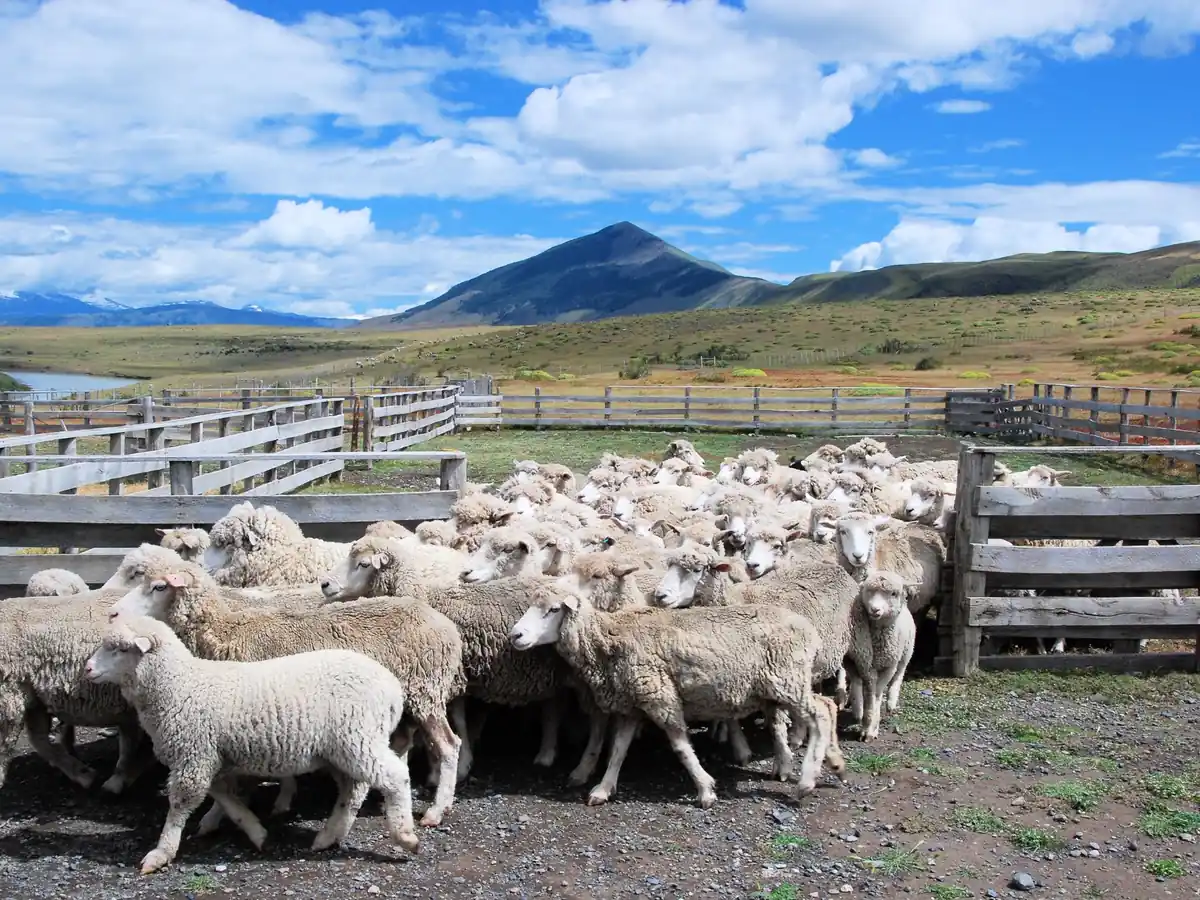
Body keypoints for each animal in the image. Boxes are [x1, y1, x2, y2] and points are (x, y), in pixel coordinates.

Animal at [84, 615, 419, 873]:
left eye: (120, 649)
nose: (87, 669)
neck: (178, 686)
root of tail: (391, 687)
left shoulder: (193, 754)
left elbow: (182, 803)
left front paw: (161, 853)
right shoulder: (212, 756)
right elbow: (223, 795)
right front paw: (254, 831)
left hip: (357, 737)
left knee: (394, 777)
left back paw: (405, 835)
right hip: (340, 748)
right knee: (353, 790)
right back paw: (329, 836)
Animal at [110, 559, 464, 828]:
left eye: (159, 587)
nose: (112, 613)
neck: (226, 632)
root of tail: (444, 623)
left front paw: (214, 817)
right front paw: (280, 800)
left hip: (426, 691)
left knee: (449, 746)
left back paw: (437, 809)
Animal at [508, 591, 837, 807]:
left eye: (553, 610)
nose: (515, 636)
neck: (608, 639)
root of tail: (809, 629)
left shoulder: (659, 695)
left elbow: (680, 747)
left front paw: (705, 789)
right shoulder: (633, 701)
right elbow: (618, 750)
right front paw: (602, 789)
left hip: (788, 678)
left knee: (822, 712)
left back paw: (806, 782)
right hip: (781, 684)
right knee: (822, 708)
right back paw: (813, 764)